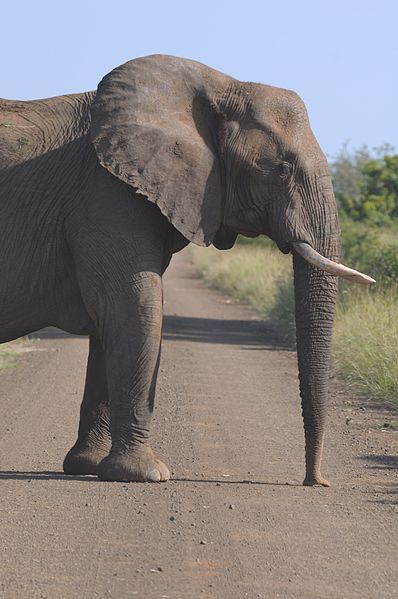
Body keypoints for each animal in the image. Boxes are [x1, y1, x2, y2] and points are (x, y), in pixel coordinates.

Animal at [0, 55, 374, 488]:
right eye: (282, 170)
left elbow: (111, 321)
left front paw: (89, 466)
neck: (221, 85)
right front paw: (147, 474)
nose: (316, 481)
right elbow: (136, 307)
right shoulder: (105, 195)